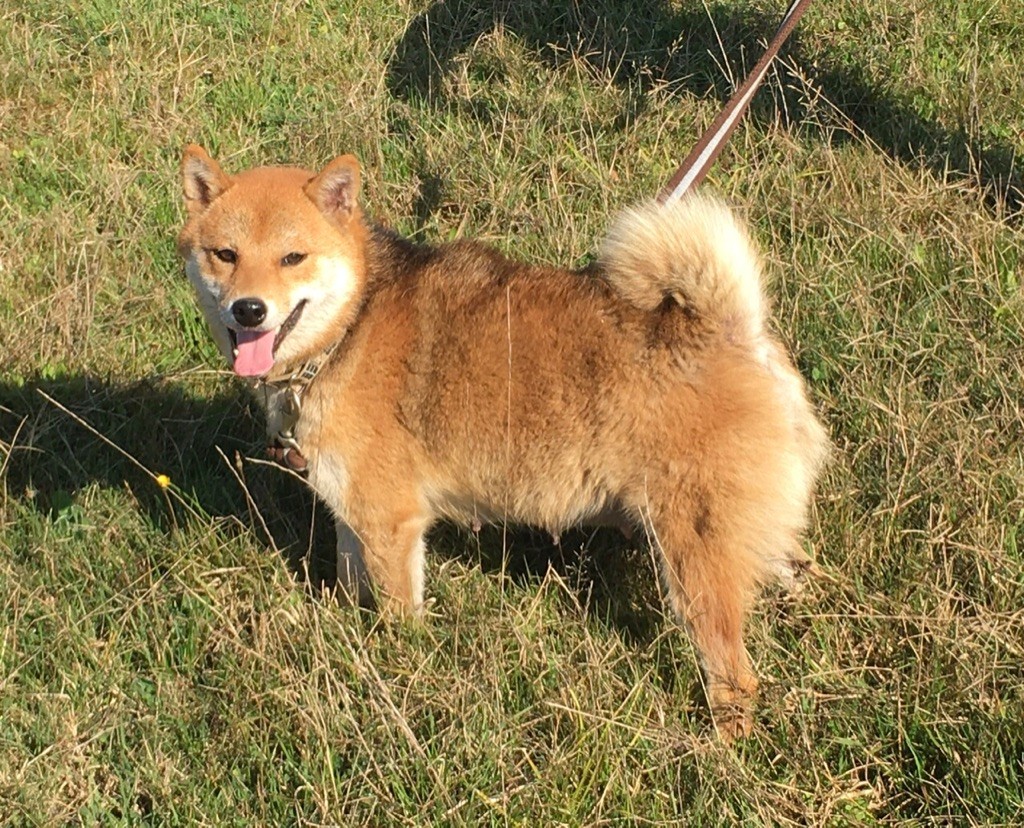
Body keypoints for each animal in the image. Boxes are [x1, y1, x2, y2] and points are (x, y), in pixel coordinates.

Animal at [178, 143, 831, 736]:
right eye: (225, 255)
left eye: (293, 257)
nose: (249, 310)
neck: (351, 326)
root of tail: (733, 330)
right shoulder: (352, 515)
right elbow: (348, 583)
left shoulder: (392, 524)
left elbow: (397, 618)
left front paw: (398, 669)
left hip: (694, 564)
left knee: (736, 676)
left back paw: (721, 748)